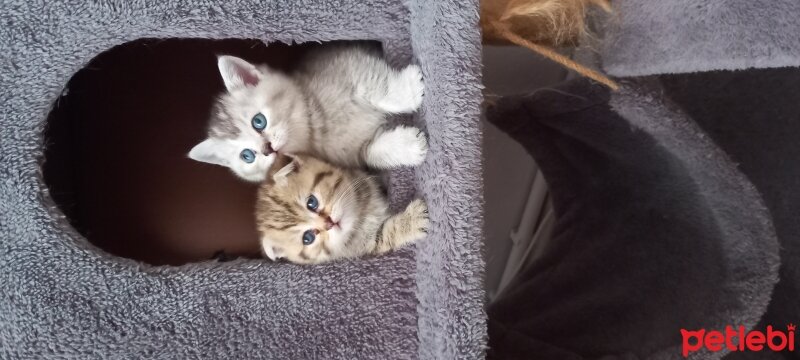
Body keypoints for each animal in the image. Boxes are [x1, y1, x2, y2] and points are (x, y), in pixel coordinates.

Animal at [188, 43, 428, 183]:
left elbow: (379, 88)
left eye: (259, 121)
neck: (316, 126)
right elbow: (371, 152)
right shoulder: (353, 155)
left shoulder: (351, 63)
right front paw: (408, 146)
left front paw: (407, 90)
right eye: (247, 156)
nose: (267, 150)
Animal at [256, 155, 432, 264]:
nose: (329, 224)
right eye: (308, 238)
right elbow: (386, 234)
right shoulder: (365, 248)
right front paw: (413, 220)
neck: (360, 213)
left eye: (311, 203)